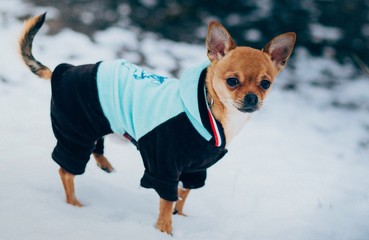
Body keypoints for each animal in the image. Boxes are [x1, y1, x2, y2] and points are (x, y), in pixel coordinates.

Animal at [19, 13, 296, 234]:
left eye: (265, 84)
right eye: (232, 81)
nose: (252, 98)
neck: (211, 112)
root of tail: (62, 70)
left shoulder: (195, 171)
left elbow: (183, 196)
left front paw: (181, 216)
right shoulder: (164, 168)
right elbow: (167, 201)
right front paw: (165, 230)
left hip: (96, 123)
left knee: (97, 146)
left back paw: (104, 164)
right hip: (76, 131)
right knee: (66, 170)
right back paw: (74, 205)